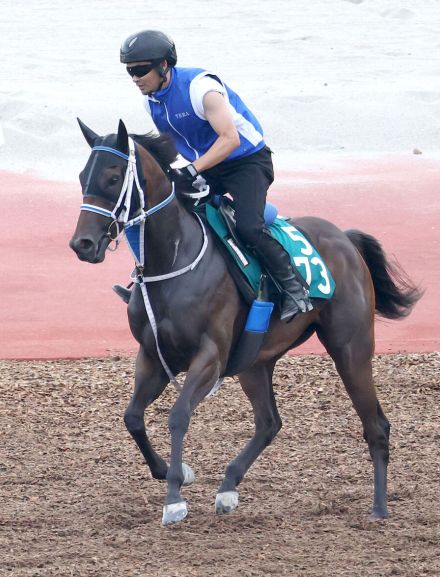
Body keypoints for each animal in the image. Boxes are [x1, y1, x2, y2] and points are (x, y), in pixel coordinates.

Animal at [70, 120, 422, 528]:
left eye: (113, 178)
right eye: (82, 176)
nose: (82, 244)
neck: (174, 257)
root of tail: (345, 239)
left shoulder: (211, 357)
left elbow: (178, 416)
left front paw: (174, 498)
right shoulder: (154, 356)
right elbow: (132, 417)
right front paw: (177, 473)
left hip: (351, 348)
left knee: (375, 425)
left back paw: (379, 507)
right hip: (255, 361)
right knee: (269, 422)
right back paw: (227, 487)